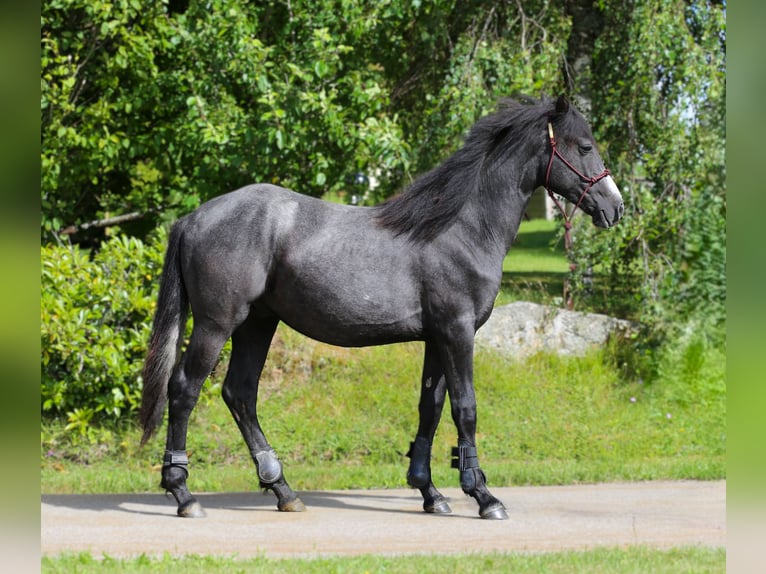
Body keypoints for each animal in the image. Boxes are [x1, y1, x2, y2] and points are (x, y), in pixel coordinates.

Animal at [139, 95, 623, 520]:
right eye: (584, 146)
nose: (614, 207)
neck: (460, 228)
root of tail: (192, 218)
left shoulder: (436, 338)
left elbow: (430, 408)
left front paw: (430, 492)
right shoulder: (457, 331)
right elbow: (464, 407)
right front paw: (484, 496)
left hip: (258, 323)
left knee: (239, 393)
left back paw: (283, 491)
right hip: (217, 323)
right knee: (184, 390)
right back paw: (184, 494)